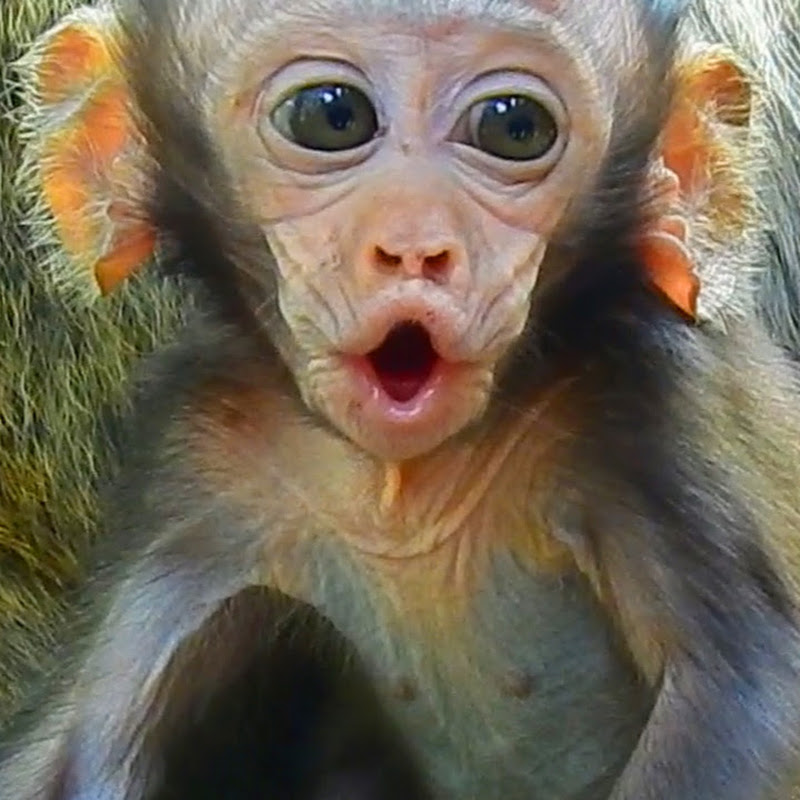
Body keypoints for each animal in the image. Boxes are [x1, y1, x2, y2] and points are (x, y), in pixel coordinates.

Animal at [4, 0, 800, 798]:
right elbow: (79, 739)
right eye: (331, 116)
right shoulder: (201, 448)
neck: (403, 488)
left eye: (514, 127)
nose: (417, 248)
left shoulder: (658, 404)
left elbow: (745, 703)